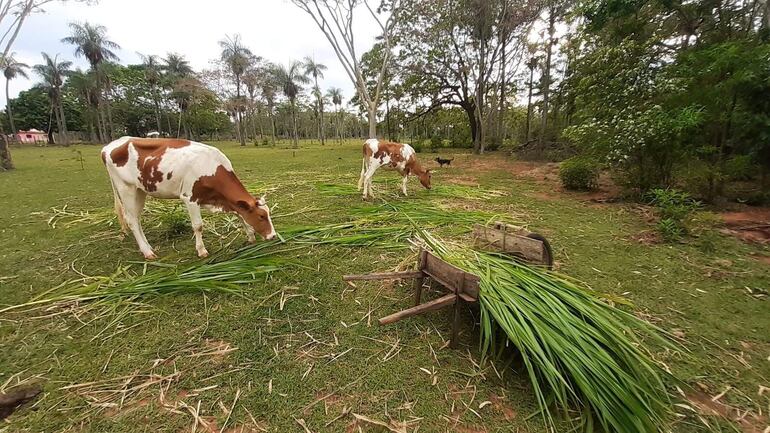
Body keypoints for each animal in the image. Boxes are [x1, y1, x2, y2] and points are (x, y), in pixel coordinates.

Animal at [101, 137, 276, 258]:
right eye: (261, 216)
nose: (273, 236)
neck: (211, 166)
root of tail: (108, 146)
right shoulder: (190, 198)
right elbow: (198, 226)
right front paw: (201, 250)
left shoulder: (222, 199)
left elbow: (239, 214)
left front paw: (250, 236)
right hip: (126, 188)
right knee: (131, 220)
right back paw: (147, 252)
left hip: (140, 190)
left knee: (136, 219)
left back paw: (148, 247)